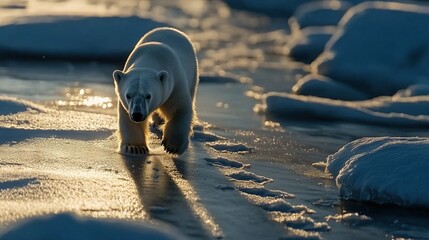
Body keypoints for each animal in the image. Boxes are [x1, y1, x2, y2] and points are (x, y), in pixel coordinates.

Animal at [114, 27, 200, 155]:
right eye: (128, 95)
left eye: (148, 96)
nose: (137, 115)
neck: (150, 58)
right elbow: (127, 119)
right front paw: (135, 147)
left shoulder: (175, 84)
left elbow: (179, 109)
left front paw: (172, 146)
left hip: (194, 73)